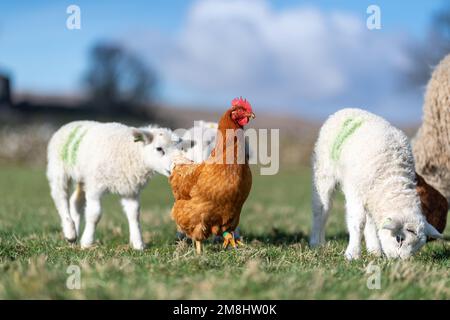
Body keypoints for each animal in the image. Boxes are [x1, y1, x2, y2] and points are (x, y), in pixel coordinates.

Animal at [47, 121, 181, 249]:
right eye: (159, 148)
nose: (175, 167)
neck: (131, 151)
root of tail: (71, 123)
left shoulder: (130, 190)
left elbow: (134, 214)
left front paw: (138, 244)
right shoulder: (95, 187)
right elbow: (94, 214)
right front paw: (87, 242)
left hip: (83, 178)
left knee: (75, 201)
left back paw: (73, 234)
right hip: (58, 170)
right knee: (60, 198)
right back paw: (70, 231)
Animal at [310, 109, 442, 258]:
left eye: (416, 248)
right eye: (399, 239)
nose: (399, 260)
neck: (392, 176)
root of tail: (345, 110)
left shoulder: (373, 195)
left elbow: (371, 224)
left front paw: (375, 251)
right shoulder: (356, 192)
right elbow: (358, 222)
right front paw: (353, 253)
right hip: (323, 172)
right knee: (321, 209)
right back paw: (316, 242)